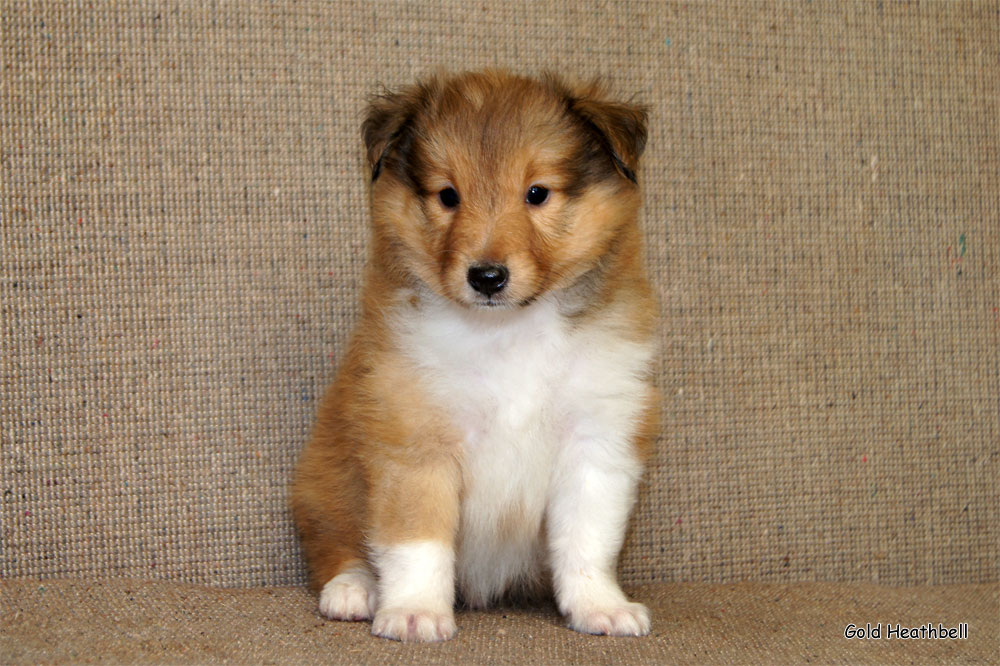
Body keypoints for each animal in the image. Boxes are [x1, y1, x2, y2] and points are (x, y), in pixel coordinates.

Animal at [292, 68, 660, 640]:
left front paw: (601, 606)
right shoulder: (415, 438)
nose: (487, 277)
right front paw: (416, 612)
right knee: (336, 545)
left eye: (537, 193)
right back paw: (354, 590)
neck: (506, 332)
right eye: (447, 195)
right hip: (323, 482)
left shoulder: (597, 439)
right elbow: (417, 541)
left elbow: (587, 539)